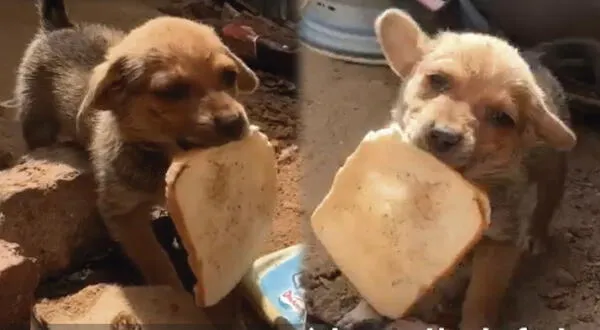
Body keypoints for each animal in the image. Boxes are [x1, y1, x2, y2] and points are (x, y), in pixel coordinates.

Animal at [14, 0, 258, 288]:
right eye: (171, 92)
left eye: (230, 76)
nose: (234, 122)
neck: (163, 156)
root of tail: (59, 26)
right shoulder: (124, 214)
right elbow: (156, 260)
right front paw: (174, 291)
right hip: (37, 121)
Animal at [336, 7, 576, 330]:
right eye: (437, 81)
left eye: (502, 118)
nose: (444, 136)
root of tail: (534, 56)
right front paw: (365, 311)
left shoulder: (500, 243)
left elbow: (481, 297)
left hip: (553, 171)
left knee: (546, 204)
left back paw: (537, 236)